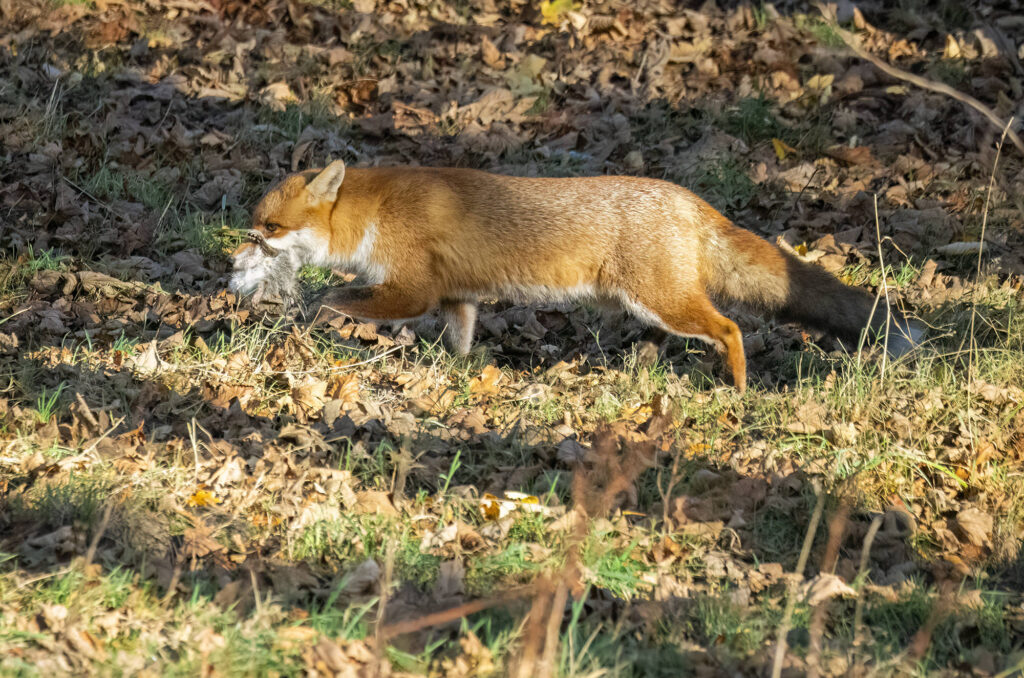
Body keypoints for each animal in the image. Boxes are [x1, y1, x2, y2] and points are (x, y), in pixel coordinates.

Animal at [230, 160, 921, 393]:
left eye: (269, 229)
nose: (235, 256)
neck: (374, 213)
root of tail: (689, 199)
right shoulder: (456, 298)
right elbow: (460, 342)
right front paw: (457, 375)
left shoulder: (412, 288)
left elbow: (335, 297)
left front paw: (309, 316)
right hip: (648, 305)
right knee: (663, 340)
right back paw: (638, 376)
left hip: (664, 299)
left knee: (729, 328)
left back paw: (739, 388)